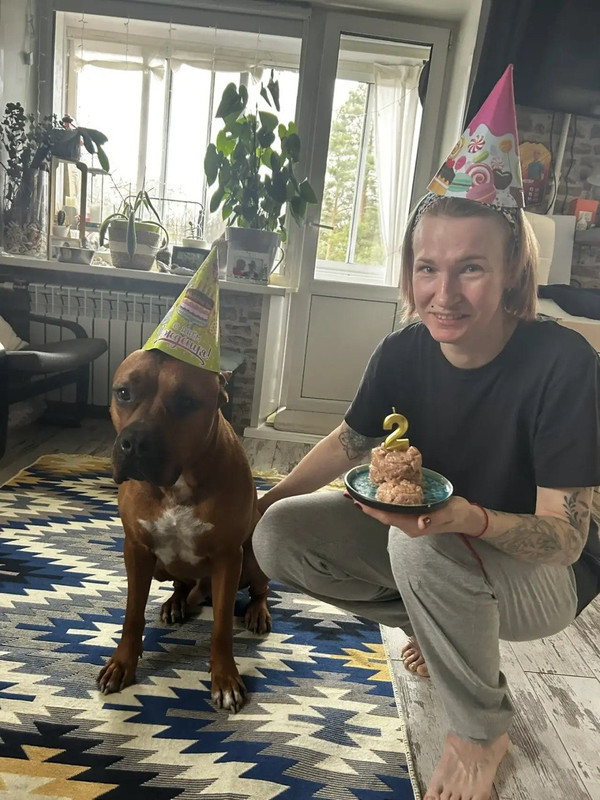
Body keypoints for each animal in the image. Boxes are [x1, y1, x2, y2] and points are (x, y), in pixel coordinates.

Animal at [97, 349, 271, 712]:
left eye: (186, 402)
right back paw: (175, 603)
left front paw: (225, 678)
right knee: (180, 583)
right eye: (123, 393)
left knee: (260, 588)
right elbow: (132, 614)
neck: (177, 485)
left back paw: (257, 612)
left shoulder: (228, 557)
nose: (134, 443)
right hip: (161, 568)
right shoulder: (136, 549)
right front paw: (122, 663)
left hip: (252, 556)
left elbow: (221, 626)